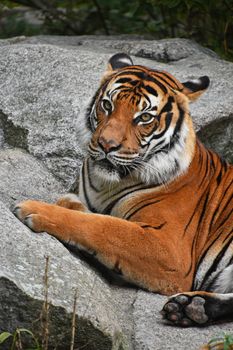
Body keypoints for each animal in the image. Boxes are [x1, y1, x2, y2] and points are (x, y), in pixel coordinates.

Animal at [14, 52, 233, 328]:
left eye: (145, 117)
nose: (106, 145)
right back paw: (191, 307)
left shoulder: (169, 249)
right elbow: (83, 209)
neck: (108, 183)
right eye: (107, 105)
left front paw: (33, 209)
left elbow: (104, 227)